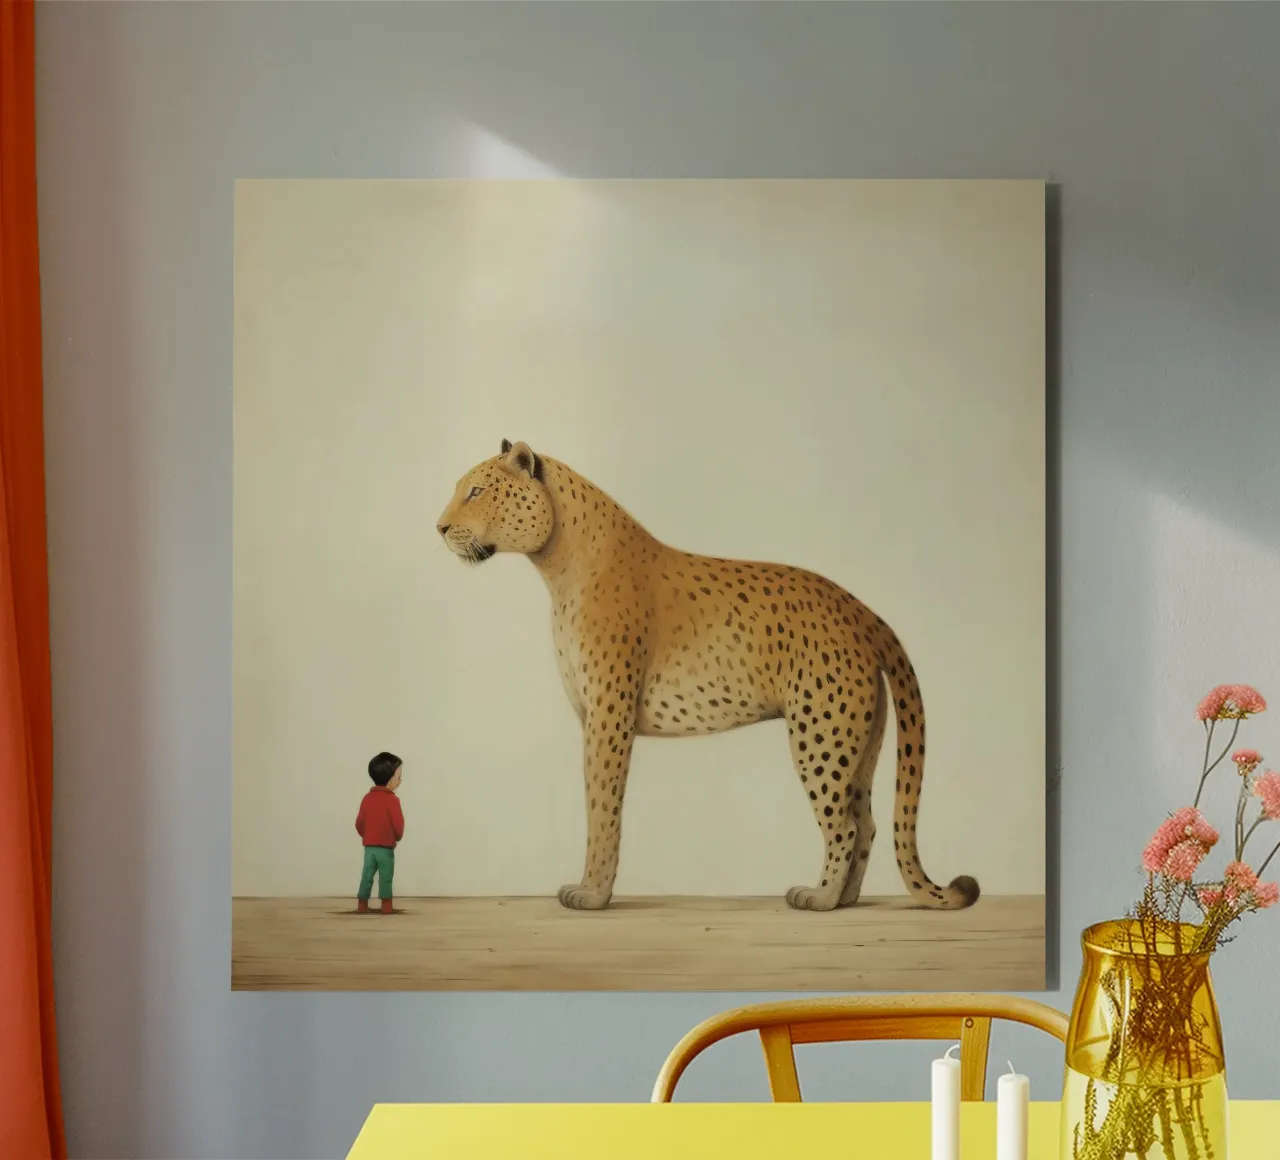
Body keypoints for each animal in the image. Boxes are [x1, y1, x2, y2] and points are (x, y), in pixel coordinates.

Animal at [436, 439, 980, 913]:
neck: (558, 563)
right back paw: (845, 899)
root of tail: (861, 609)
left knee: (843, 825)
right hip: (860, 742)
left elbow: (602, 808)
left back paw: (819, 898)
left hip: (820, 735)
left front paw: (591, 894)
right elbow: (597, 804)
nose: (439, 528)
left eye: (476, 491)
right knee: (865, 823)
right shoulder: (593, 716)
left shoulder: (608, 717)